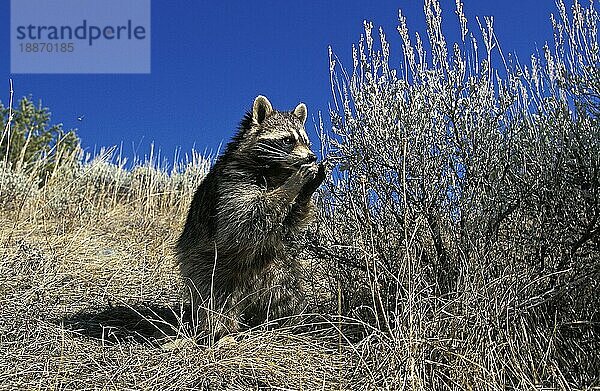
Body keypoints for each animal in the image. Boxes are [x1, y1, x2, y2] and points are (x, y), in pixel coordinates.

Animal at [175, 95, 324, 340]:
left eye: (306, 142)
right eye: (288, 140)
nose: (312, 156)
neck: (275, 169)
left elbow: (289, 222)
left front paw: (307, 189)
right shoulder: (234, 182)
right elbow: (243, 221)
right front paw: (293, 184)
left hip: (278, 269)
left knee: (287, 297)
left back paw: (287, 325)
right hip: (209, 265)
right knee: (215, 299)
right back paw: (219, 331)